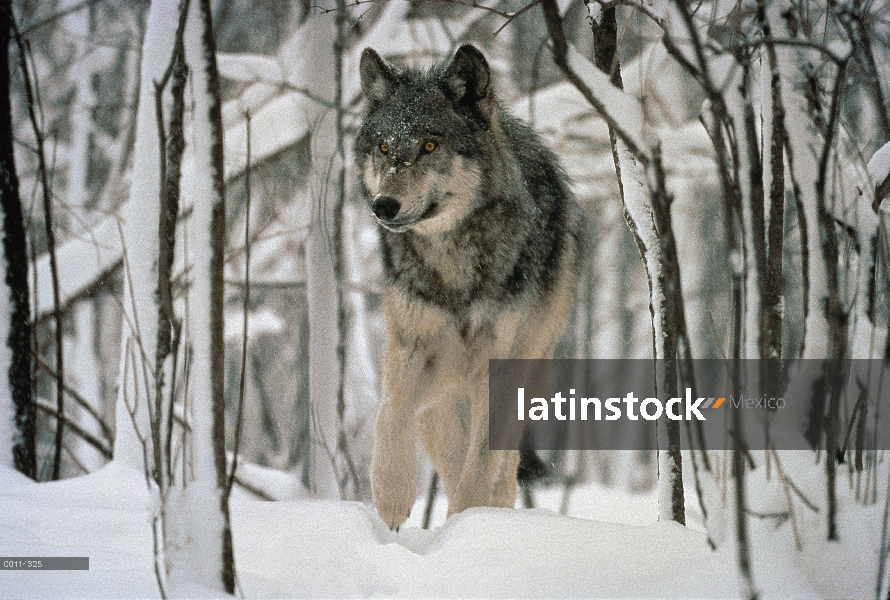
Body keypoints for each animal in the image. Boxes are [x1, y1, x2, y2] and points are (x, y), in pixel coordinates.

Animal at [354, 43, 584, 528]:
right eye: (384, 146)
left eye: (429, 145)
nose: (384, 206)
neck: (453, 264)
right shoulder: (411, 347)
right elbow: (390, 411)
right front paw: (391, 493)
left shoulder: (497, 370)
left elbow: (480, 468)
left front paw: (468, 524)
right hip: (442, 407)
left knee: (501, 472)